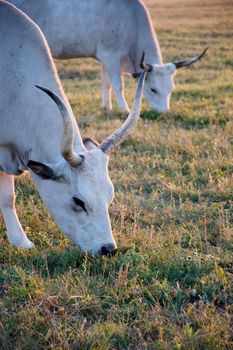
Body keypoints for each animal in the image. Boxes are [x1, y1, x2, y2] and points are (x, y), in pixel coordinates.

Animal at [9, 0, 208, 112]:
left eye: (171, 89)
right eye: (153, 90)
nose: (164, 112)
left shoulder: (105, 58)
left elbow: (107, 83)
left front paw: (106, 107)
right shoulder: (111, 55)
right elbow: (118, 84)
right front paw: (124, 109)